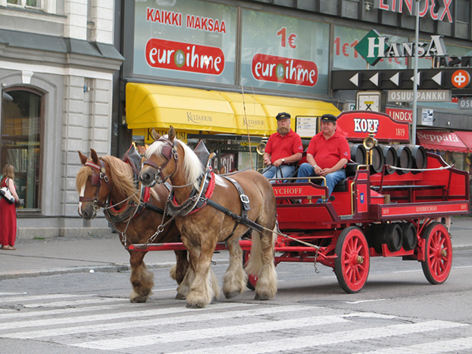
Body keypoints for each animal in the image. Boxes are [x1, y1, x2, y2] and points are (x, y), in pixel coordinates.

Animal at [76, 149, 189, 302]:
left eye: (92, 179)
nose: (83, 211)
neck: (136, 200)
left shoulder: (148, 237)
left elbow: (135, 260)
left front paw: (141, 289)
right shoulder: (128, 239)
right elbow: (135, 262)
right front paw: (142, 288)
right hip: (176, 236)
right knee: (182, 257)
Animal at [137, 127, 276, 306]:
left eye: (165, 153)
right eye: (147, 153)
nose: (144, 176)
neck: (198, 194)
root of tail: (260, 176)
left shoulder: (209, 237)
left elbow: (203, 265)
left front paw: (198, 296)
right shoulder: (189, 239)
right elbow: (197, 265)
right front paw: (202, 291)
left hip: (265, 226)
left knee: (266, 254)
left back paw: (264, 289)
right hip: (234, 228)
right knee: (237, 252)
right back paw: (233, 287)